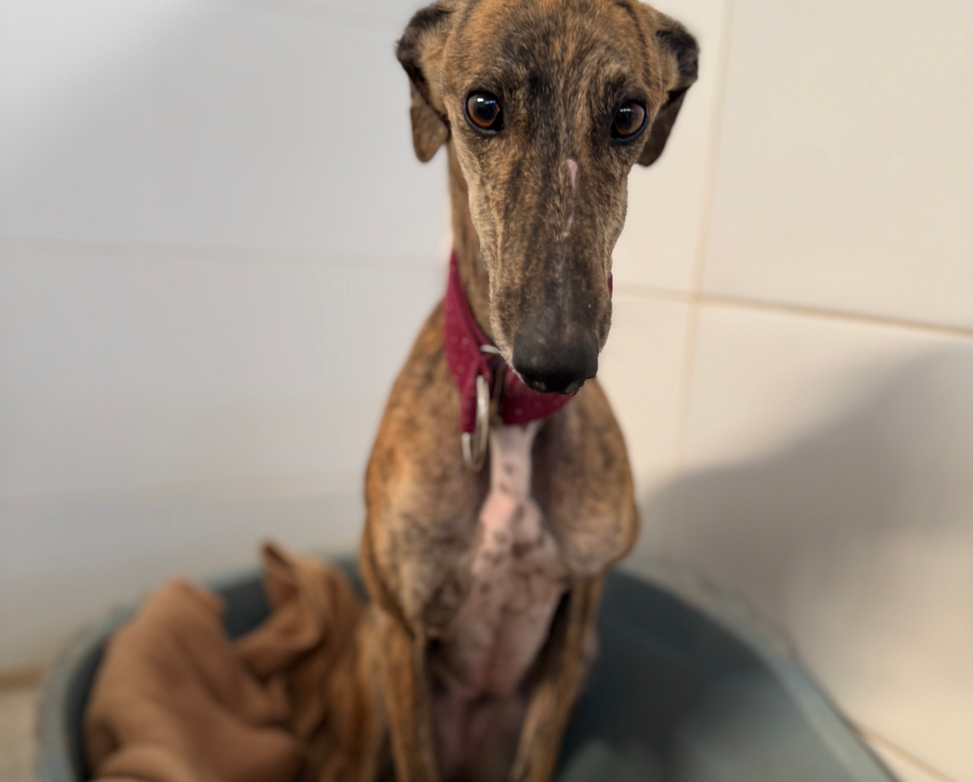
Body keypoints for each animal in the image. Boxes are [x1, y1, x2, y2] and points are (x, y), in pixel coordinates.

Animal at [360, 1, 698, 780]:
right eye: (482, 107)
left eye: (630, 115)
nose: (555, 362)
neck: (510, 423)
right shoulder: (397, 631)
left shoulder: (575, 621)